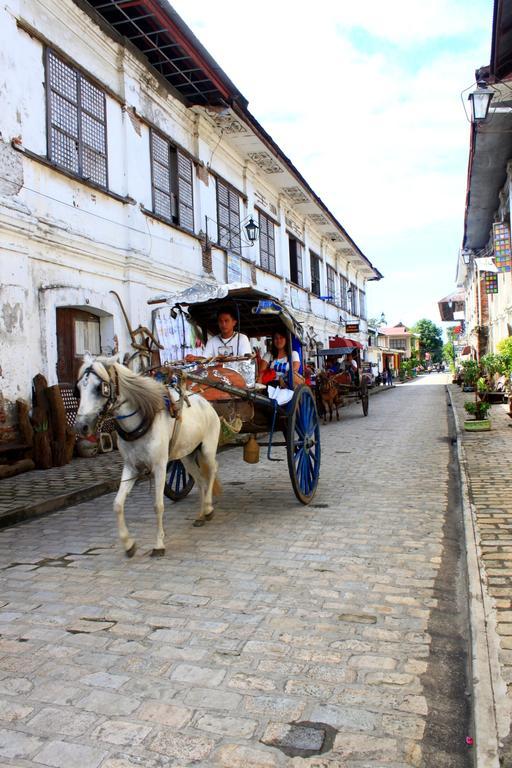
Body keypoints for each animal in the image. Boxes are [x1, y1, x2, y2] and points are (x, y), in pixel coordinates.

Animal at [73, 354, 220, 560]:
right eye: (78, 388)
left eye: (99, 388)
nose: (81, 427)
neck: (141, 420)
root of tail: (205, 401)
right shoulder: (131, 467)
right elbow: (117, 504)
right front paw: (128, 544)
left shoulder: (159, 466)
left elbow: (158, 506)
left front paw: (159, 545)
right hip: (187, 456)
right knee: (200, 480)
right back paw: (200, 515)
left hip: (207, 449)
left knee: (212, 470)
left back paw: (208, 508)